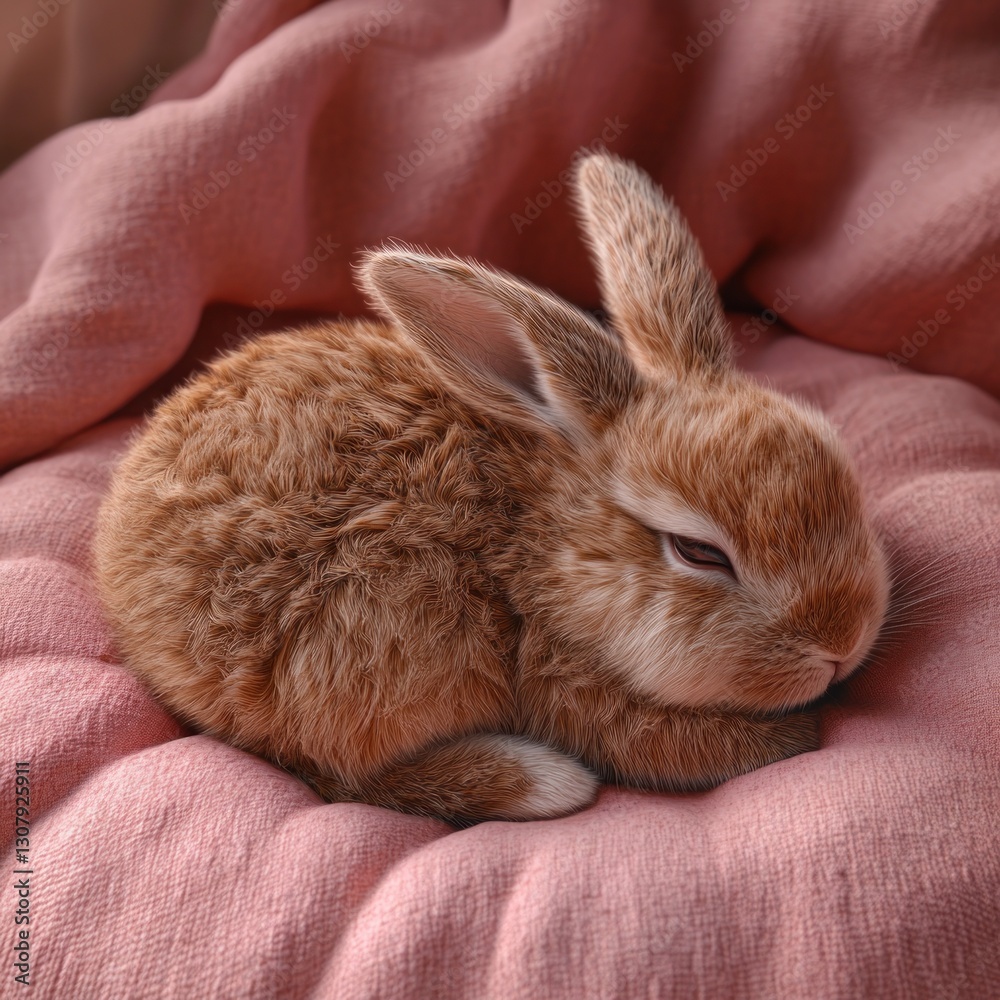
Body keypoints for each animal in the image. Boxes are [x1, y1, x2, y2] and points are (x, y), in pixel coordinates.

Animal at [93, 153, 889, 824]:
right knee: (344, 775)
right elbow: (665, 744)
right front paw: (794, 735)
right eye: (699, 553)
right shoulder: (561, 681)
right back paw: (542, 782)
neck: (547, 541)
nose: (842, 644)